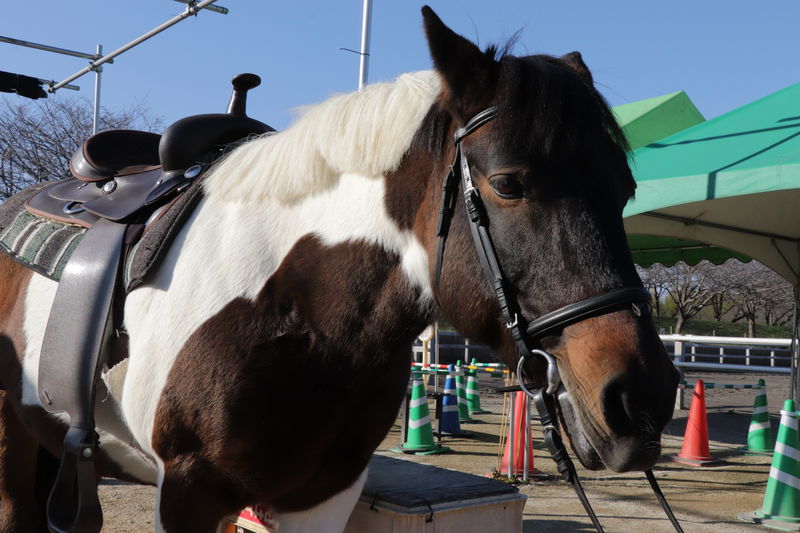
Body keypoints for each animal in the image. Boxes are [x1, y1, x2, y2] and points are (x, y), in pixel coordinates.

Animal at [0, 7, 680, 532]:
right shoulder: (188, 491)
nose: (641, 399)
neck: (299, 312)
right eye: (508, 184)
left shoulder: (320, 497)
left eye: (625, 190)